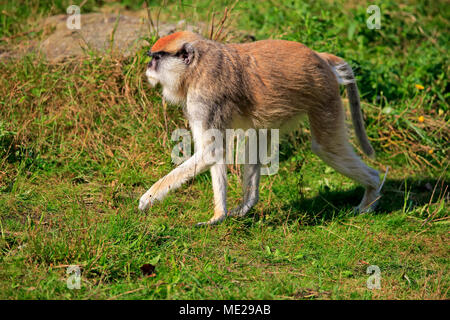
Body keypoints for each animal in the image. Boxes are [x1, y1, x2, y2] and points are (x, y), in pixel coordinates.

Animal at [139, 30, 382, 225]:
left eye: (157, 57)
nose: (148, 67)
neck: (198, 66)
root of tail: (319, 56)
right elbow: (217, 152)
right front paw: (218, 216)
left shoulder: (204, 99)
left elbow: (211, 151)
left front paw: (148, 197)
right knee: (255, 140)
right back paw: (246, 205)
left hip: (323, 94)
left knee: (326, 148)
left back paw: (371, 194)